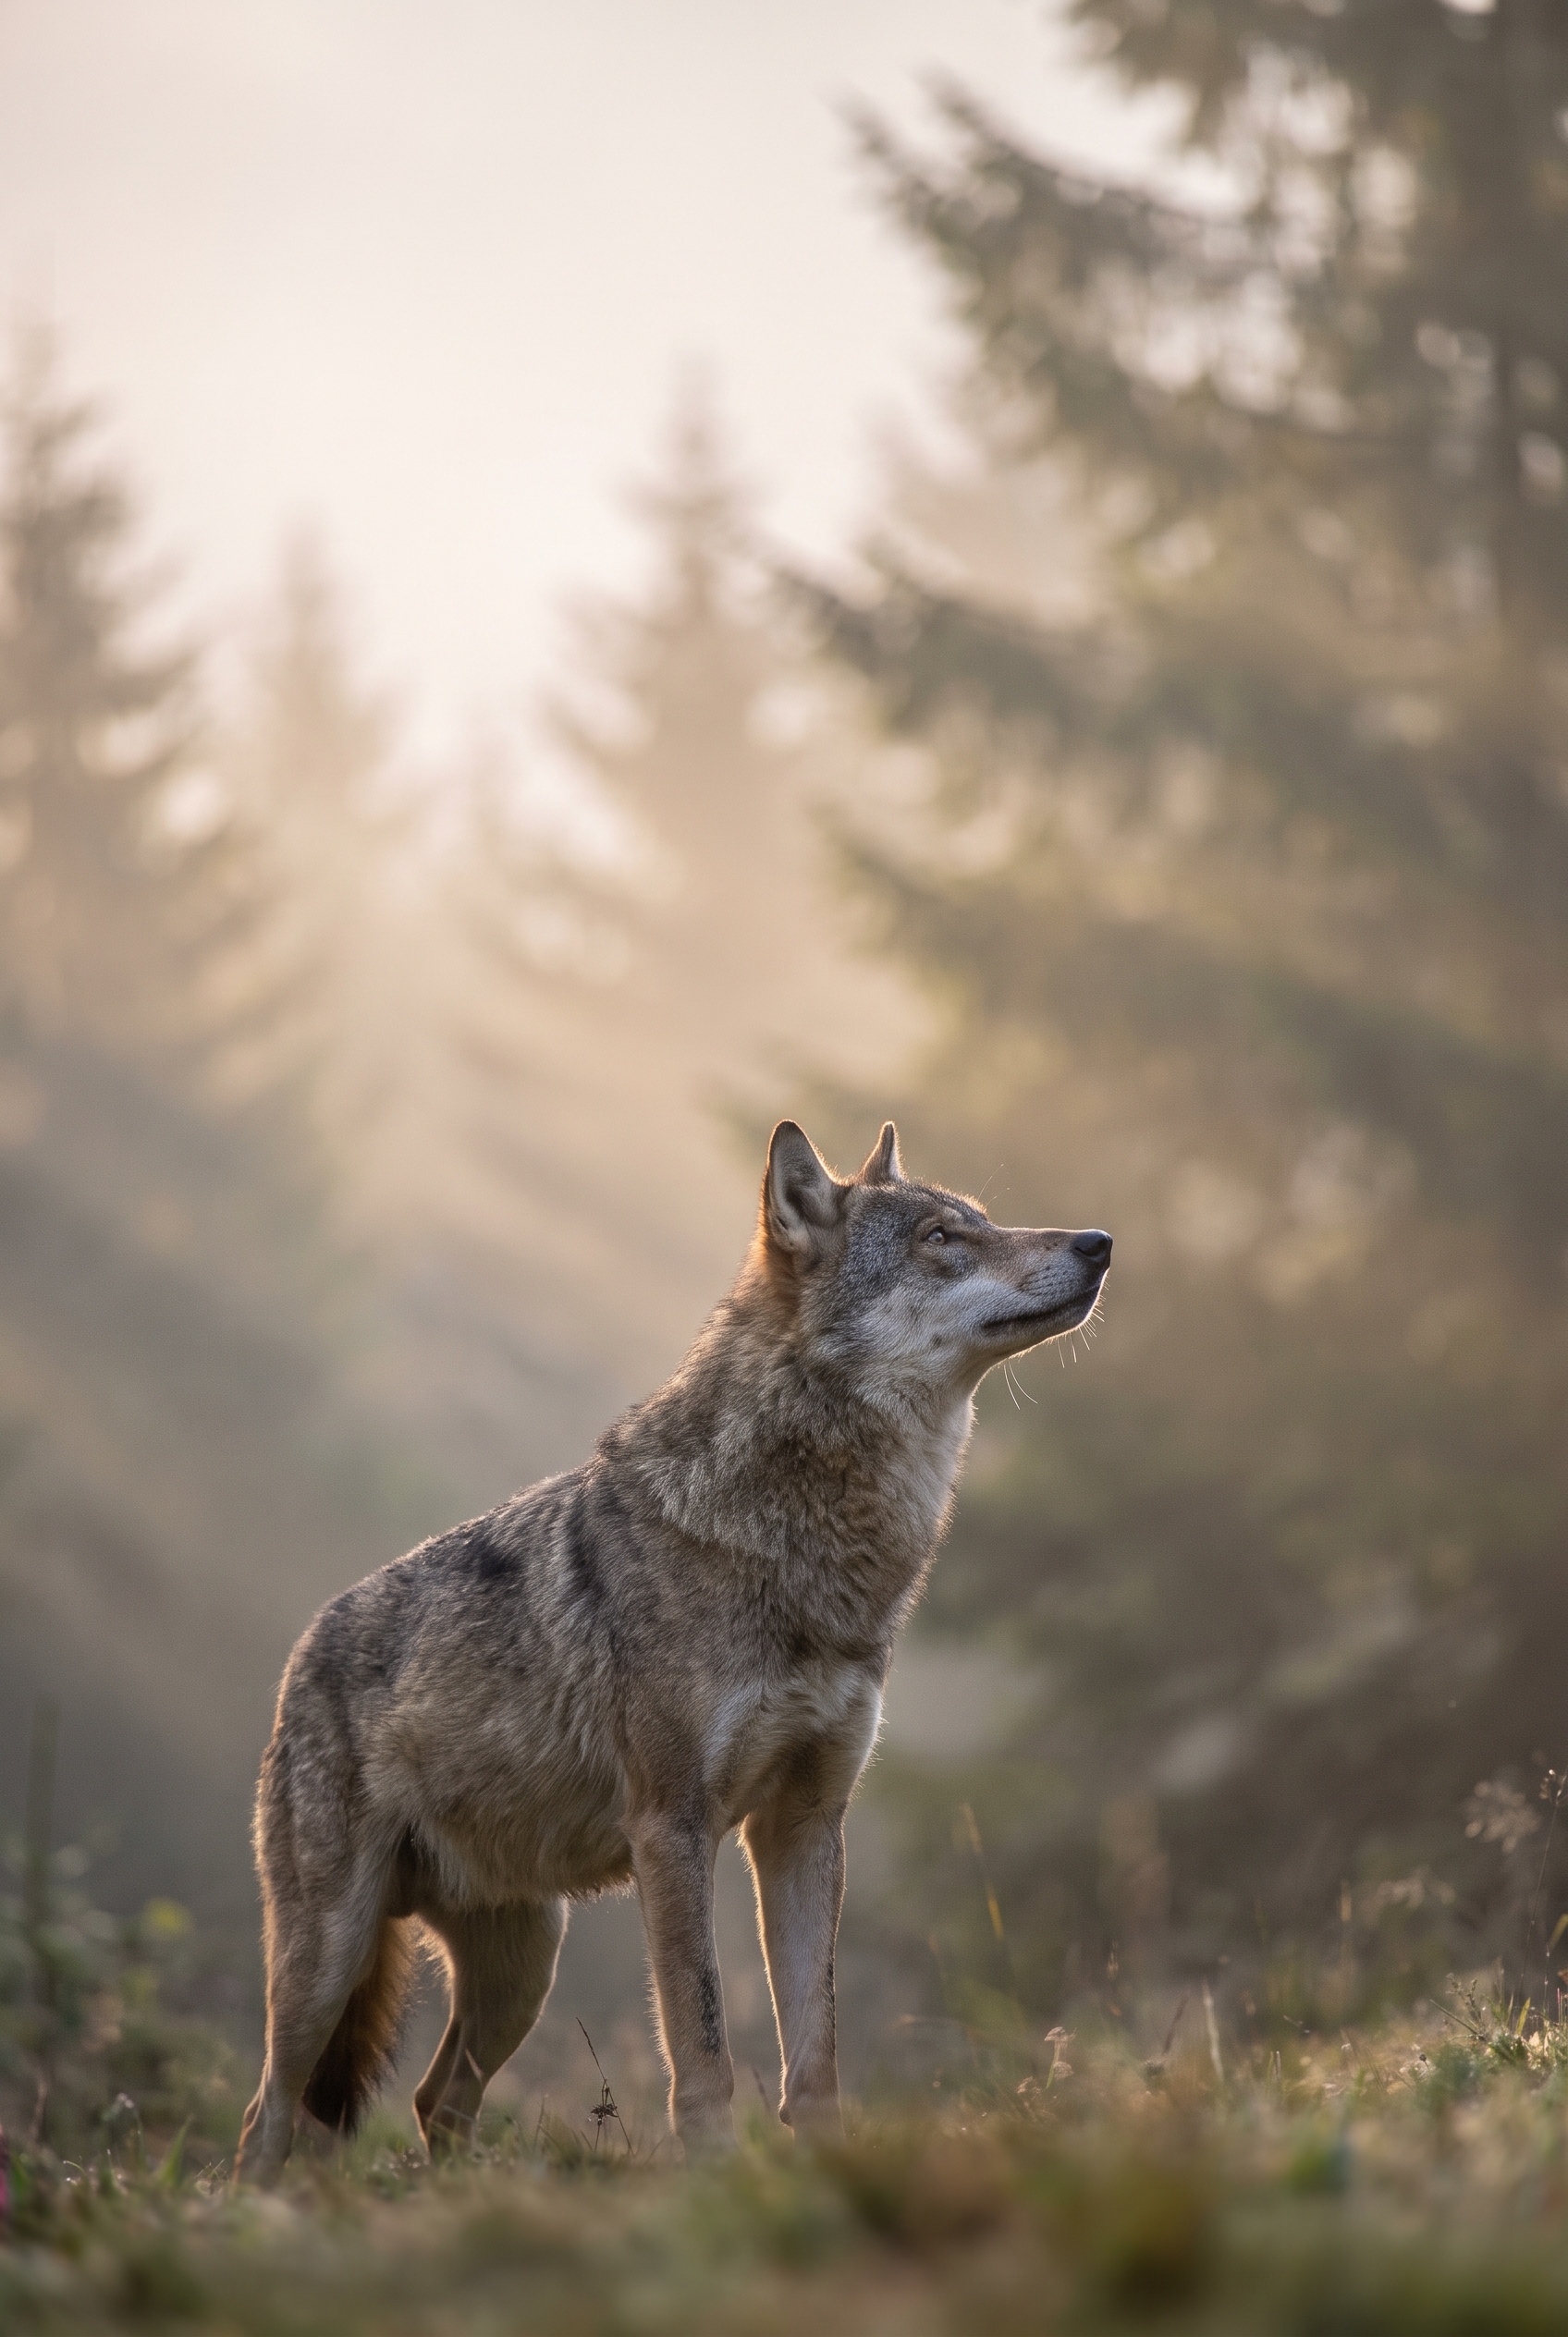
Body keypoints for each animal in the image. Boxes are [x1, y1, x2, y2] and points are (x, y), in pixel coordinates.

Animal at [234, 1120, 1110, 2181]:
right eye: (942, 1237)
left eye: (981, 1218)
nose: (1101, 1242)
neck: (808, 1546)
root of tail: (304, 1647)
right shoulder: (673, 1827)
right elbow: (702, 2043)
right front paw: (716, 2175)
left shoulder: (805, 1826)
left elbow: (812, 2047)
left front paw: (825, 2167)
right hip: (328, 1961)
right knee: (268, 2113)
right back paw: (254, 2206)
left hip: (523, 1968)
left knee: (434, 2098)